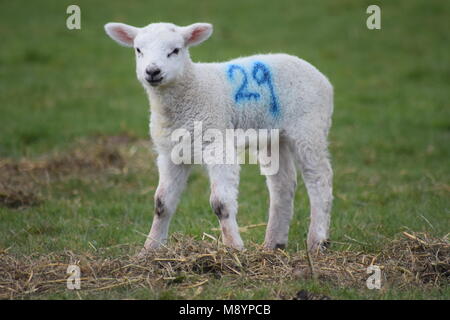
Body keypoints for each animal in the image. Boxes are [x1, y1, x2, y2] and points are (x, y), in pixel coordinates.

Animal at [103, 21, 332, 255]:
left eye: (175, 50)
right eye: (138, 50)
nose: (152, 71)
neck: (192, 88)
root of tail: (319, 75)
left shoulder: (217, 144)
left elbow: (220, 203)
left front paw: (233, 247)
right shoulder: (170, 153)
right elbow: (161, 204)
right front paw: (149, 249)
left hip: (308, 127)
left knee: (319, 177)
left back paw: (317, 241)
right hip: (274, 137)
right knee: (283, 184)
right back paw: (272, 245)